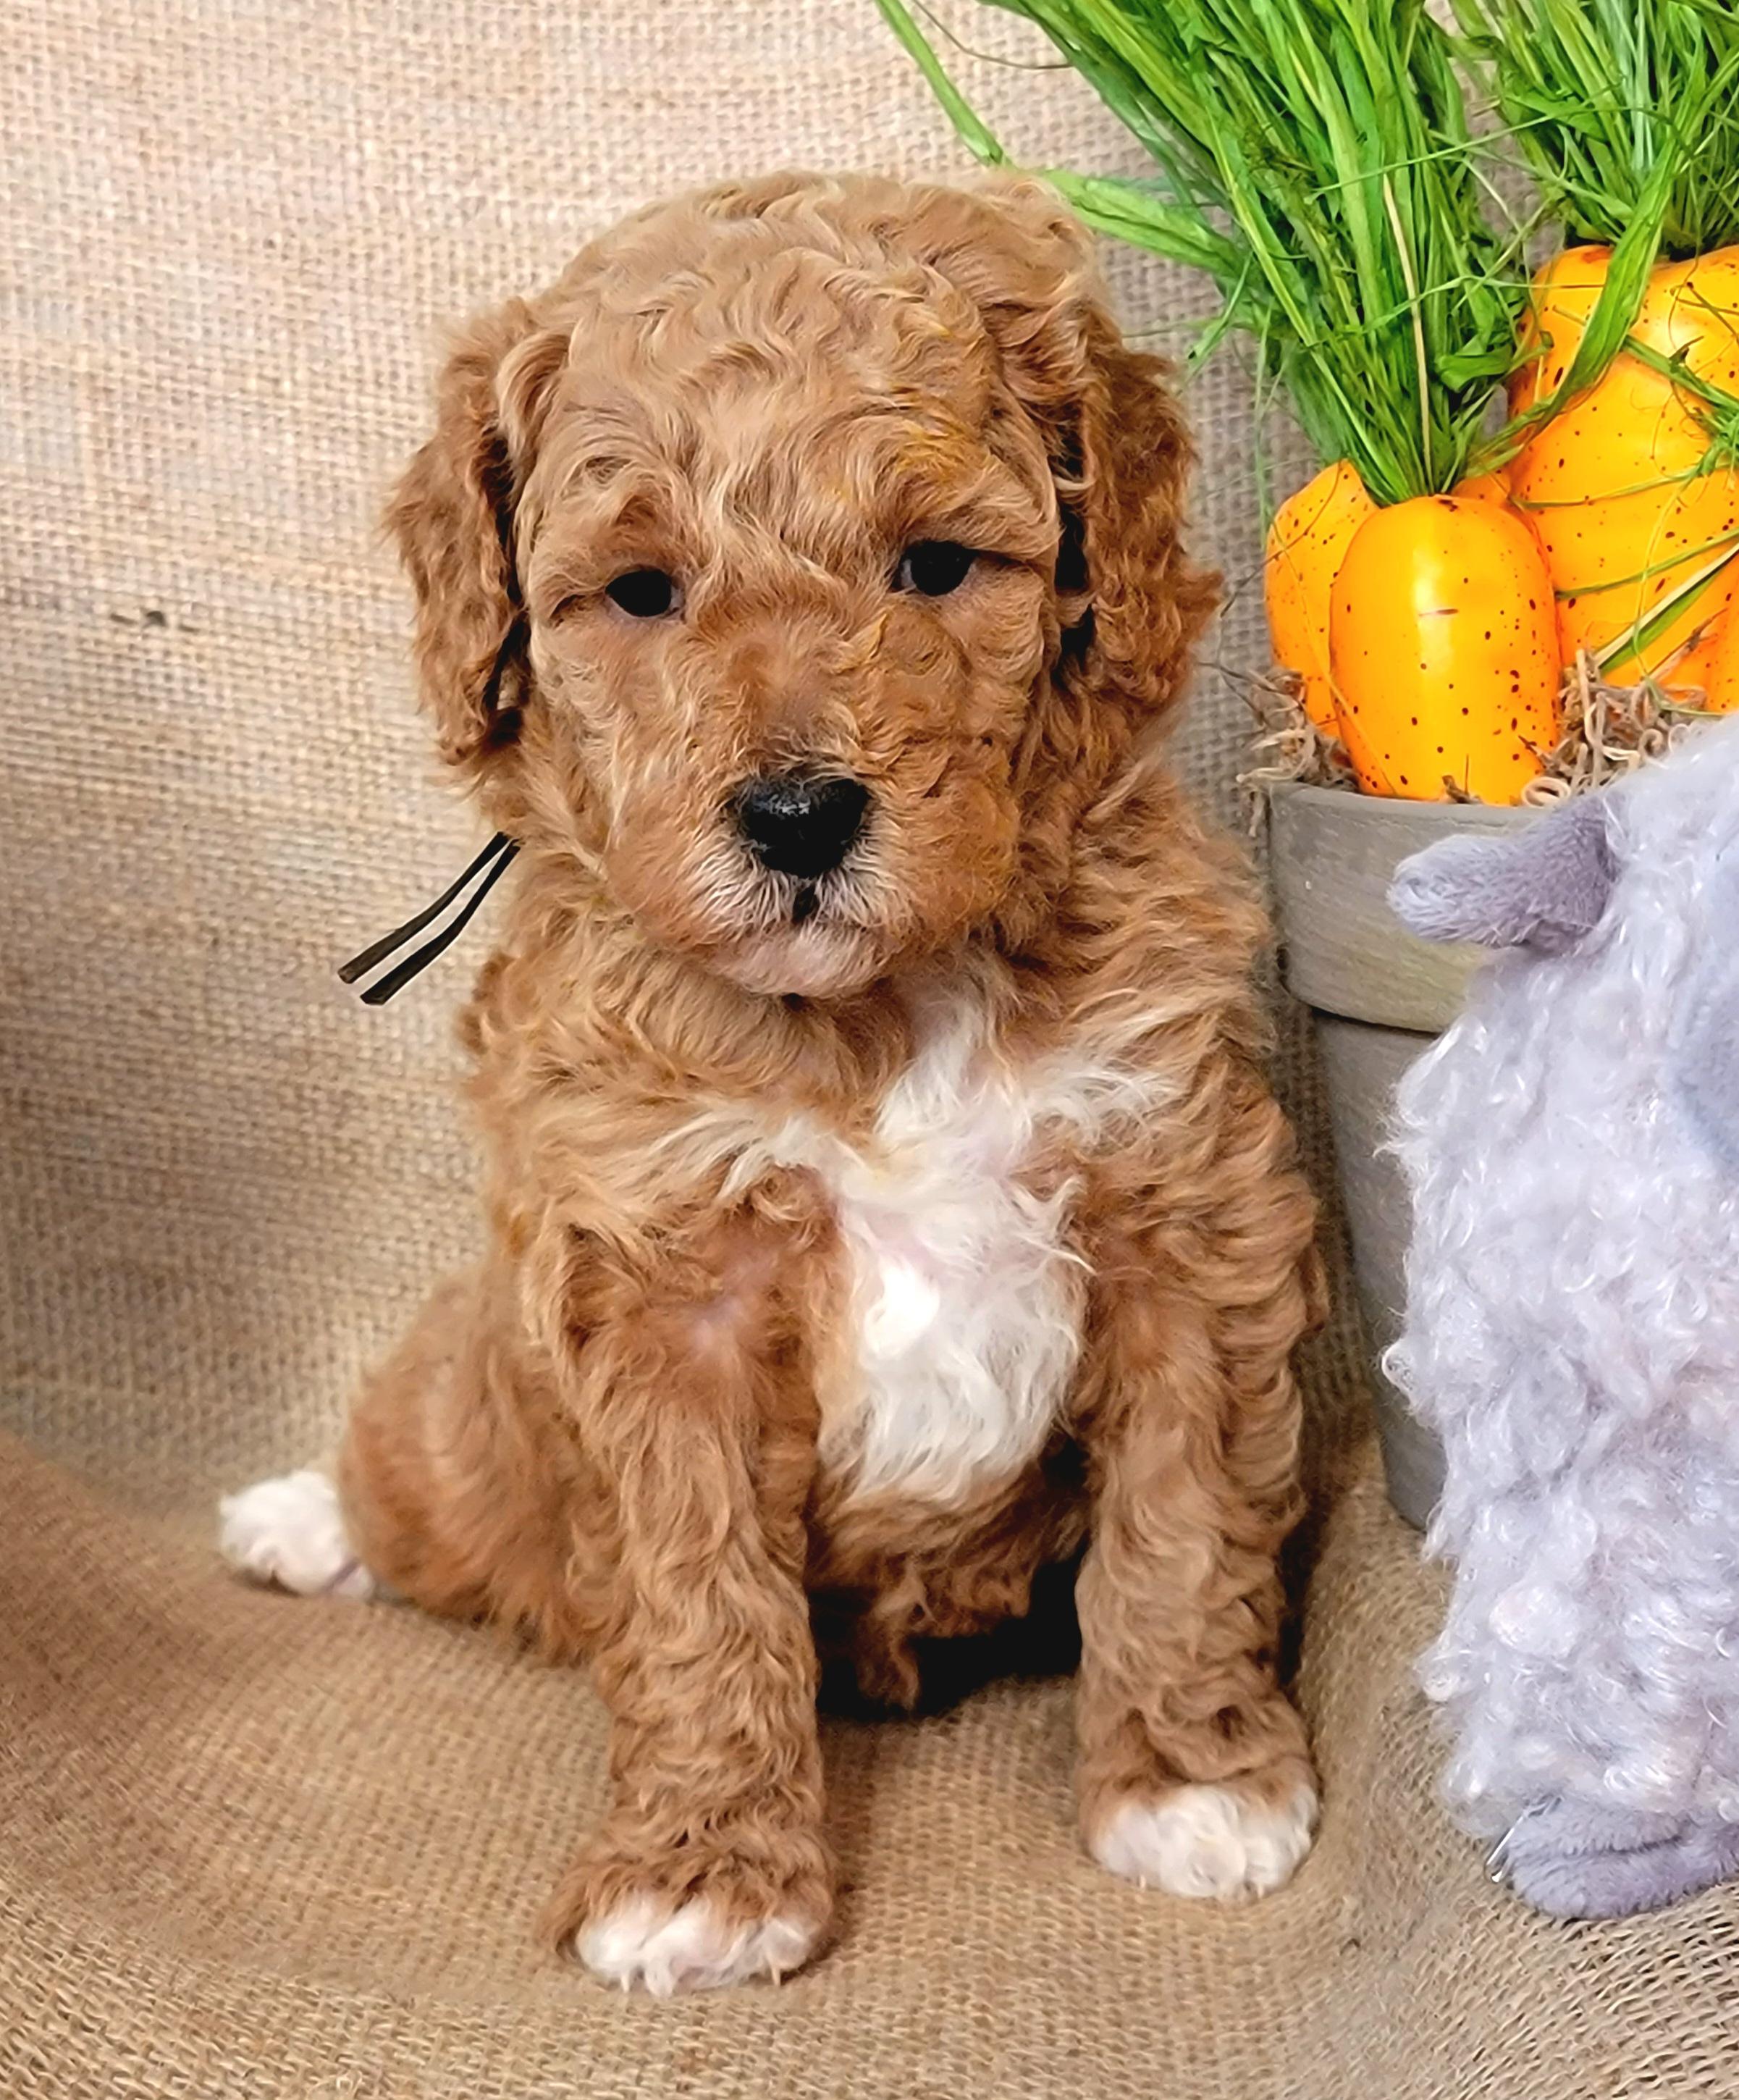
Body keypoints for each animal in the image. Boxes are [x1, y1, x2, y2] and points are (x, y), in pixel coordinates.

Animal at [220, 172, 1321, 1994]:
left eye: (935, 567)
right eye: (642, 593)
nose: (799, 817)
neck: (872, 1014)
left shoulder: (1184, 1213)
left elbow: (1182, 1517)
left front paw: (1190, 1781)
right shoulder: (659, 1281)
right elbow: (699, 1600)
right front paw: (706, 1878)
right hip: (473, 1402)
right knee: (422, 1473)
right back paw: (299, 1517)